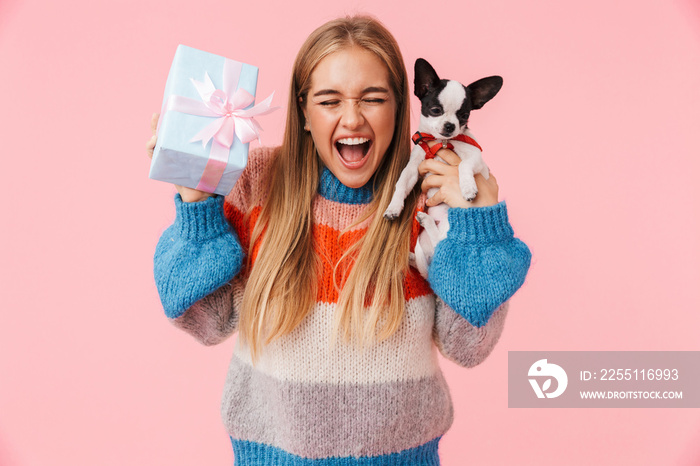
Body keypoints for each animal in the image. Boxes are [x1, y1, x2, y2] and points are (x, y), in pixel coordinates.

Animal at [382, 58, 504, 276]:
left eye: (464, 116)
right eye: (435, 110)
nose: (450, 125)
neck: (442, 142)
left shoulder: (476, 157)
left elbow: (464, 165)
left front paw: (468, 188)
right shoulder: (414, 167)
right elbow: (401, 184)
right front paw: (393, 207)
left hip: (453, 223)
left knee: (440, 242)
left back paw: (427, 222)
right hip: (425, 239)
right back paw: (411, 257)